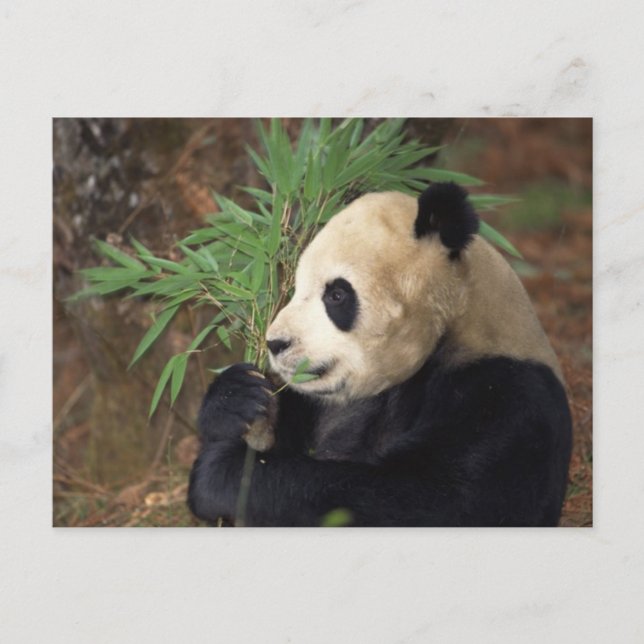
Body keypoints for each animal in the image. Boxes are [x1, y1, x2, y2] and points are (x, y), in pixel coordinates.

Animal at [188, 182, 572, 527]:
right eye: (296, 287)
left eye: (336, 295)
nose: (275, 342)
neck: (455, 321)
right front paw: (237, 397)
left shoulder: (504, 394)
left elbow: (437, 499)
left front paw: (221, 474)